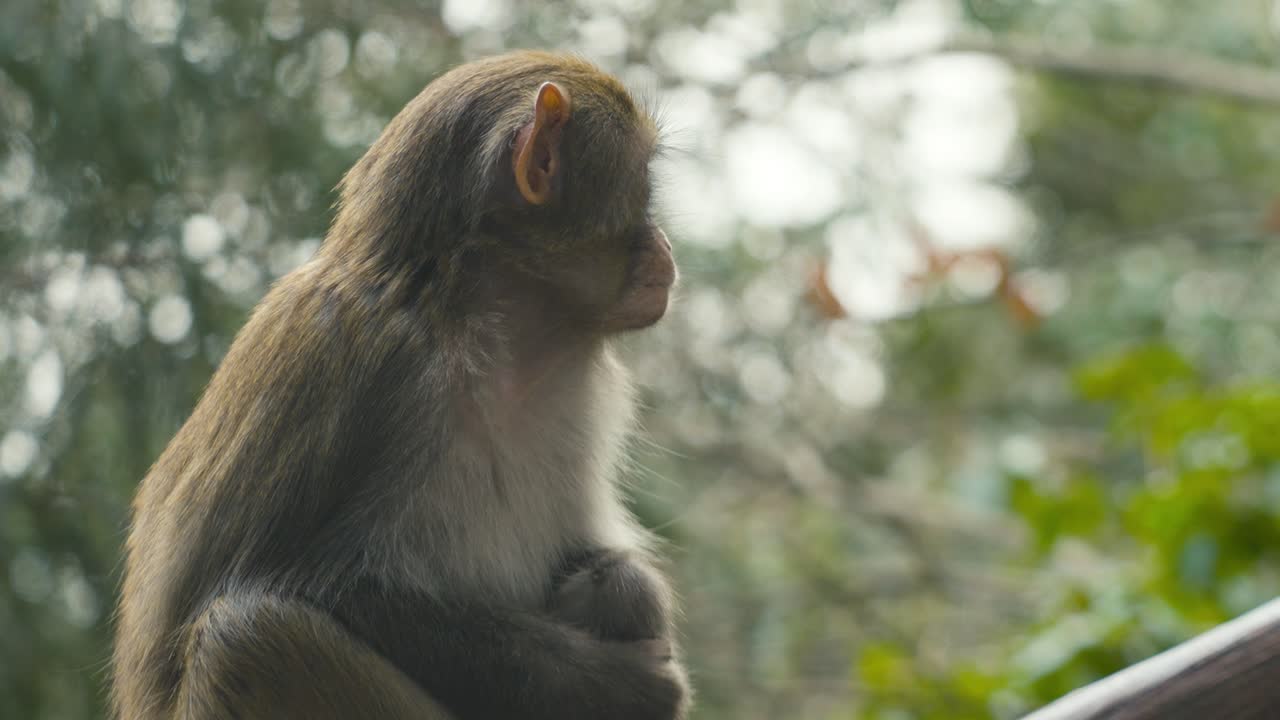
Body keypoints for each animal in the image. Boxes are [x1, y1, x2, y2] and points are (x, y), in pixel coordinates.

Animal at [111, 51, 688, 720]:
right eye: (643, 181)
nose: (666, 247)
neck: (484, 327)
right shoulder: (372, 360)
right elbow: (320, 582)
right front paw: (614, 685)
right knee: (248, 638)